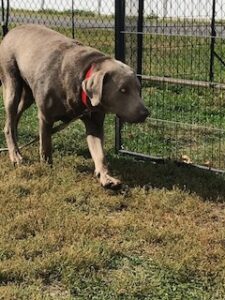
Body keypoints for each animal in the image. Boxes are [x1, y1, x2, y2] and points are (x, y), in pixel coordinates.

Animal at [0, 24, 149, 188]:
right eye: (123, 90)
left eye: (138, 88)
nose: (145, 113)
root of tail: (12, 30)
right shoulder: (45, 117)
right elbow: (45, 145)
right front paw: (47, 168)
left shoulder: (94, 122)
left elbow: (99, 154)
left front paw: (106, 177)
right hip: (11, 81)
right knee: (9, 122)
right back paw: (15, 155)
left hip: (27, 94)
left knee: (14, 119)